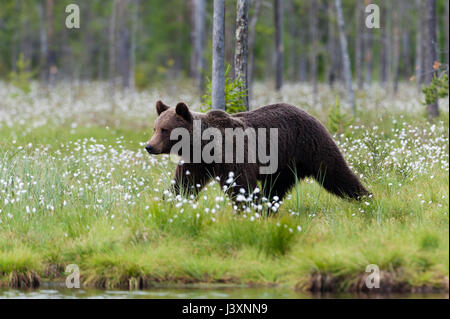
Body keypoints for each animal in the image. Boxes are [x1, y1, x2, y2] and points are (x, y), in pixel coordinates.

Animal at [146, 101, 370, 204]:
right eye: (155, 128)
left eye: (164, 129)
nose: (149, 146)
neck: (204, 146)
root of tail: (310, 114)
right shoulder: (196, 161)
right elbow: (185, 183)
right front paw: (169, 202)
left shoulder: (232, 154)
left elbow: (240, 184)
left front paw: (247, 208)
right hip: (284, 165)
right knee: (276, 188)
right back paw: (269, 206)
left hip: (310, 147)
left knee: (335, 172)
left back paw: (365, 197)